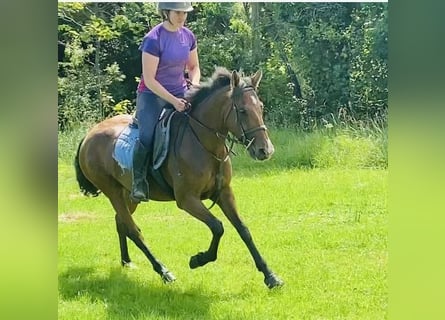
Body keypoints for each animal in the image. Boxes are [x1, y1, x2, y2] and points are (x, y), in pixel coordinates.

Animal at [72, 67, 280, 288]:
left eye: (260, 107)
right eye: (242, 111)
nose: (265, 150)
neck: (203, 143)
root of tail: (88, 136)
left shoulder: (224, 193)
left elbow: (243, 229)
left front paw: (270, 275)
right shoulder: (187, 199)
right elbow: (218, 227)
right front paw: (198, 259)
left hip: (128, 194)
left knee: (121, 222)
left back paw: (127, 261)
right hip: (113, 192)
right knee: (134, 230)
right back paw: (163, 271)